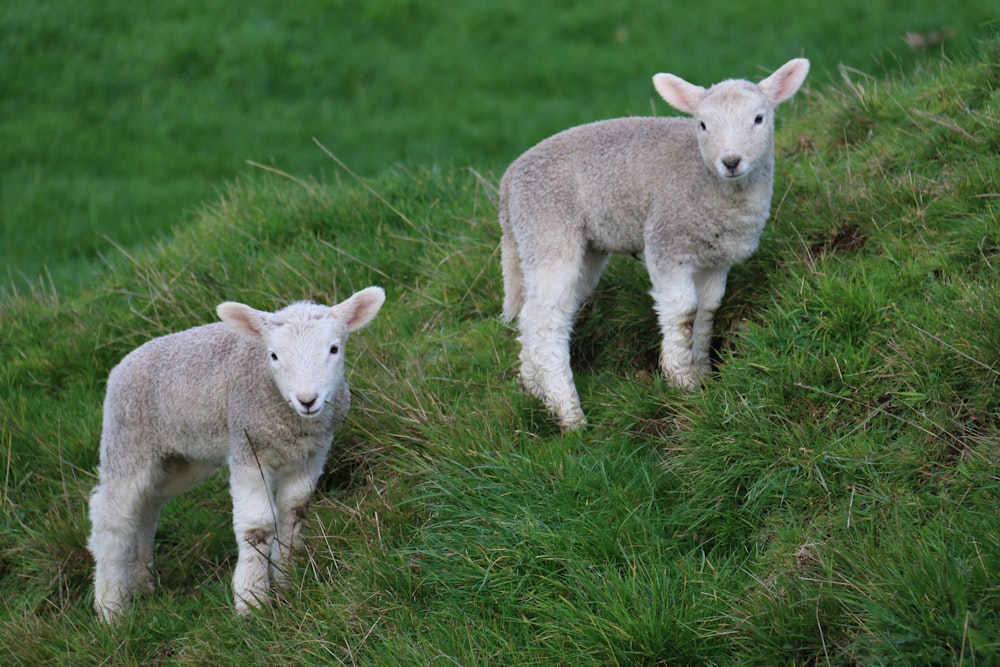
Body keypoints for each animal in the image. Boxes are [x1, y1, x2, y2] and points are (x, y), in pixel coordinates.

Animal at [88, 288, 384, 628]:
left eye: (334, 349)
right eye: (274, 355)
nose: (307, 400)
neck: (293, 422)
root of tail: (120, 366)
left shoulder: (312, 454)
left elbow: (295, 511)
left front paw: (287, 578)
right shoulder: (247, 449)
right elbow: (257, 527)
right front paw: (252, 602)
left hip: (178, 459)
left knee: (147, 505)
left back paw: (141, 581)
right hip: (129, 442)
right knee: (111, 517)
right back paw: (111, 609)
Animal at [496, 58, 808, 434]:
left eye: (759, 118)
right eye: (703, 124)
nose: (731, 162)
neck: (707, 180)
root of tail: (509, 179)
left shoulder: (716, 257)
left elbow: (707, 311)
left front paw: (703, 373)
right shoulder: (667, 242)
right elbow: (683, 310)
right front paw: (681, 380)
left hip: (577, 247)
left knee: (536, 315)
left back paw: (533, 388)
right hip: (549, 230)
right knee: (543, 320)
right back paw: (569, 414)